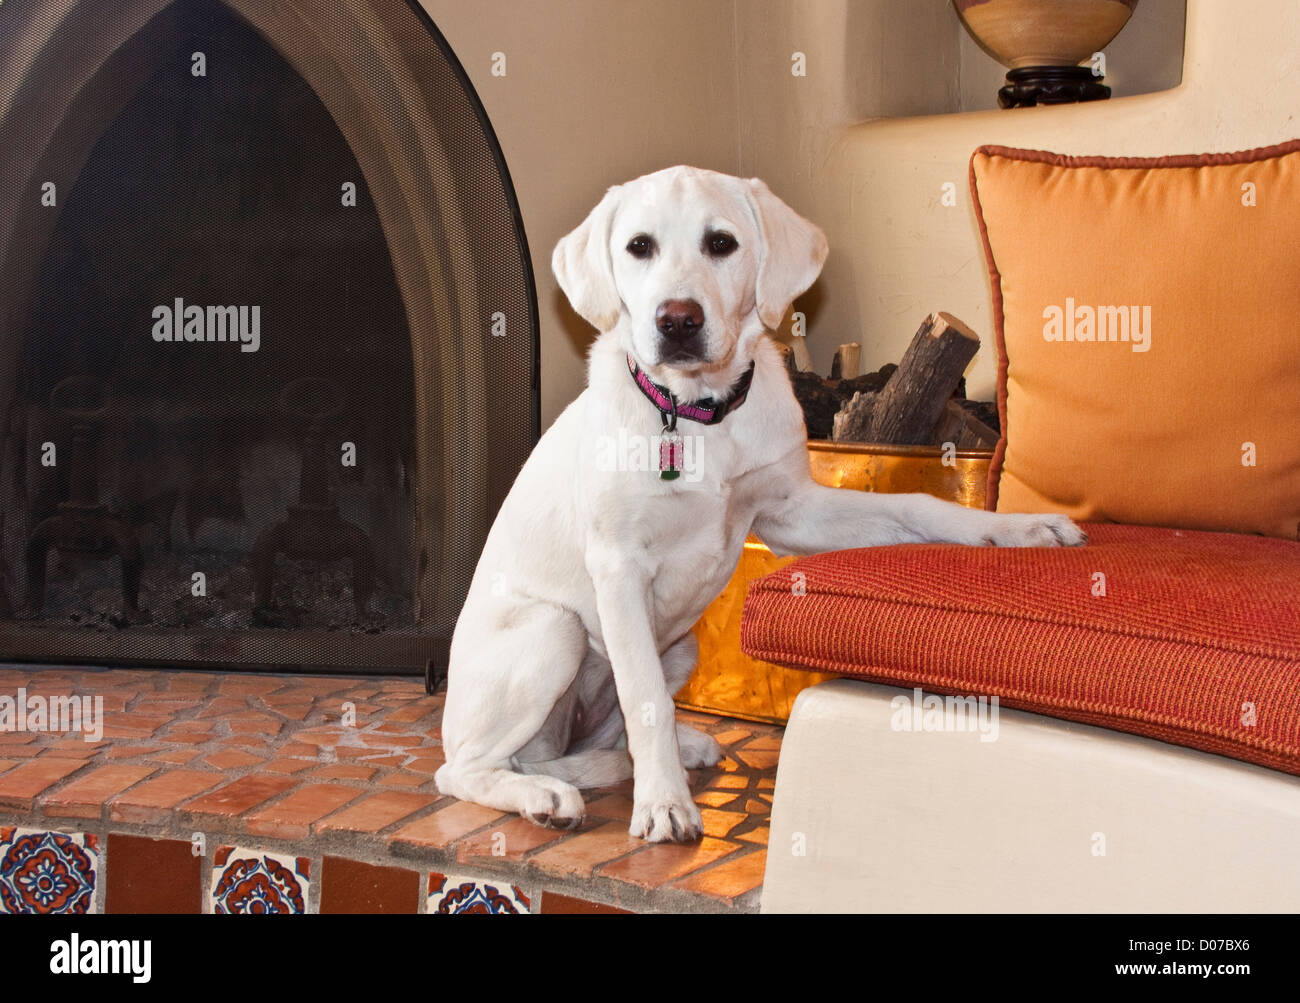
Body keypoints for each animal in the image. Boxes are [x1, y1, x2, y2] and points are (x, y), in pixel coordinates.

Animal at [436, 168, 1086, 841]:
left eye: (721, 243)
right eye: (639, 247)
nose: (677, 321)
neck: (696, 411)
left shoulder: (792, 512)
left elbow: (918, 506)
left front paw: (1021, 527)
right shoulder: (618, 565)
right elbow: (644, 699)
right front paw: (663, 804)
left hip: (681, 646)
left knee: (601, 738)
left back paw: (665, 750)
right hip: (556, 632)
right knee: (463, 771)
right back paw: (544, 794)